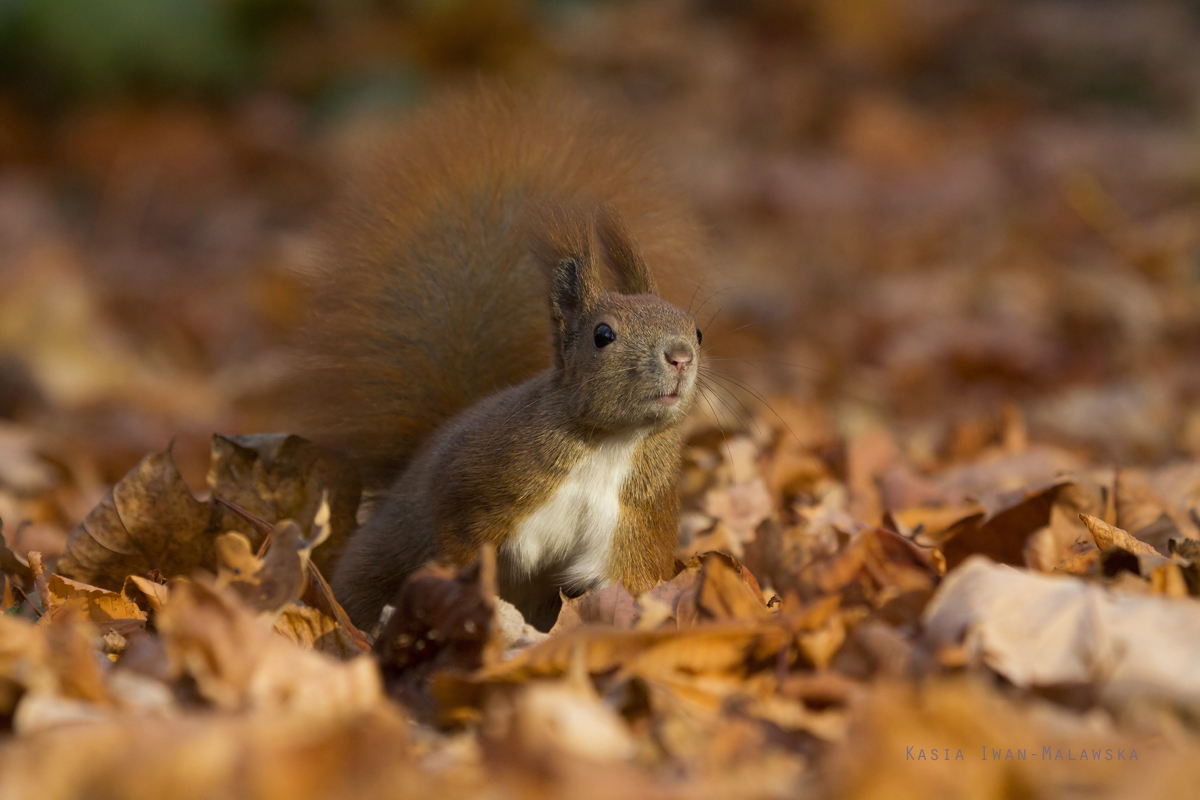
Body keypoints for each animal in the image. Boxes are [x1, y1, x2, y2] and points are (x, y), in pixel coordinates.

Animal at [296, 82, 700, 633]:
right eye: (603, 335)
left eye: (697, 330)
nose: (680, 357)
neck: (610, 444)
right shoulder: (478, 486)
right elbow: (464, 539)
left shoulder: (635, 529)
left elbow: (627, 584)